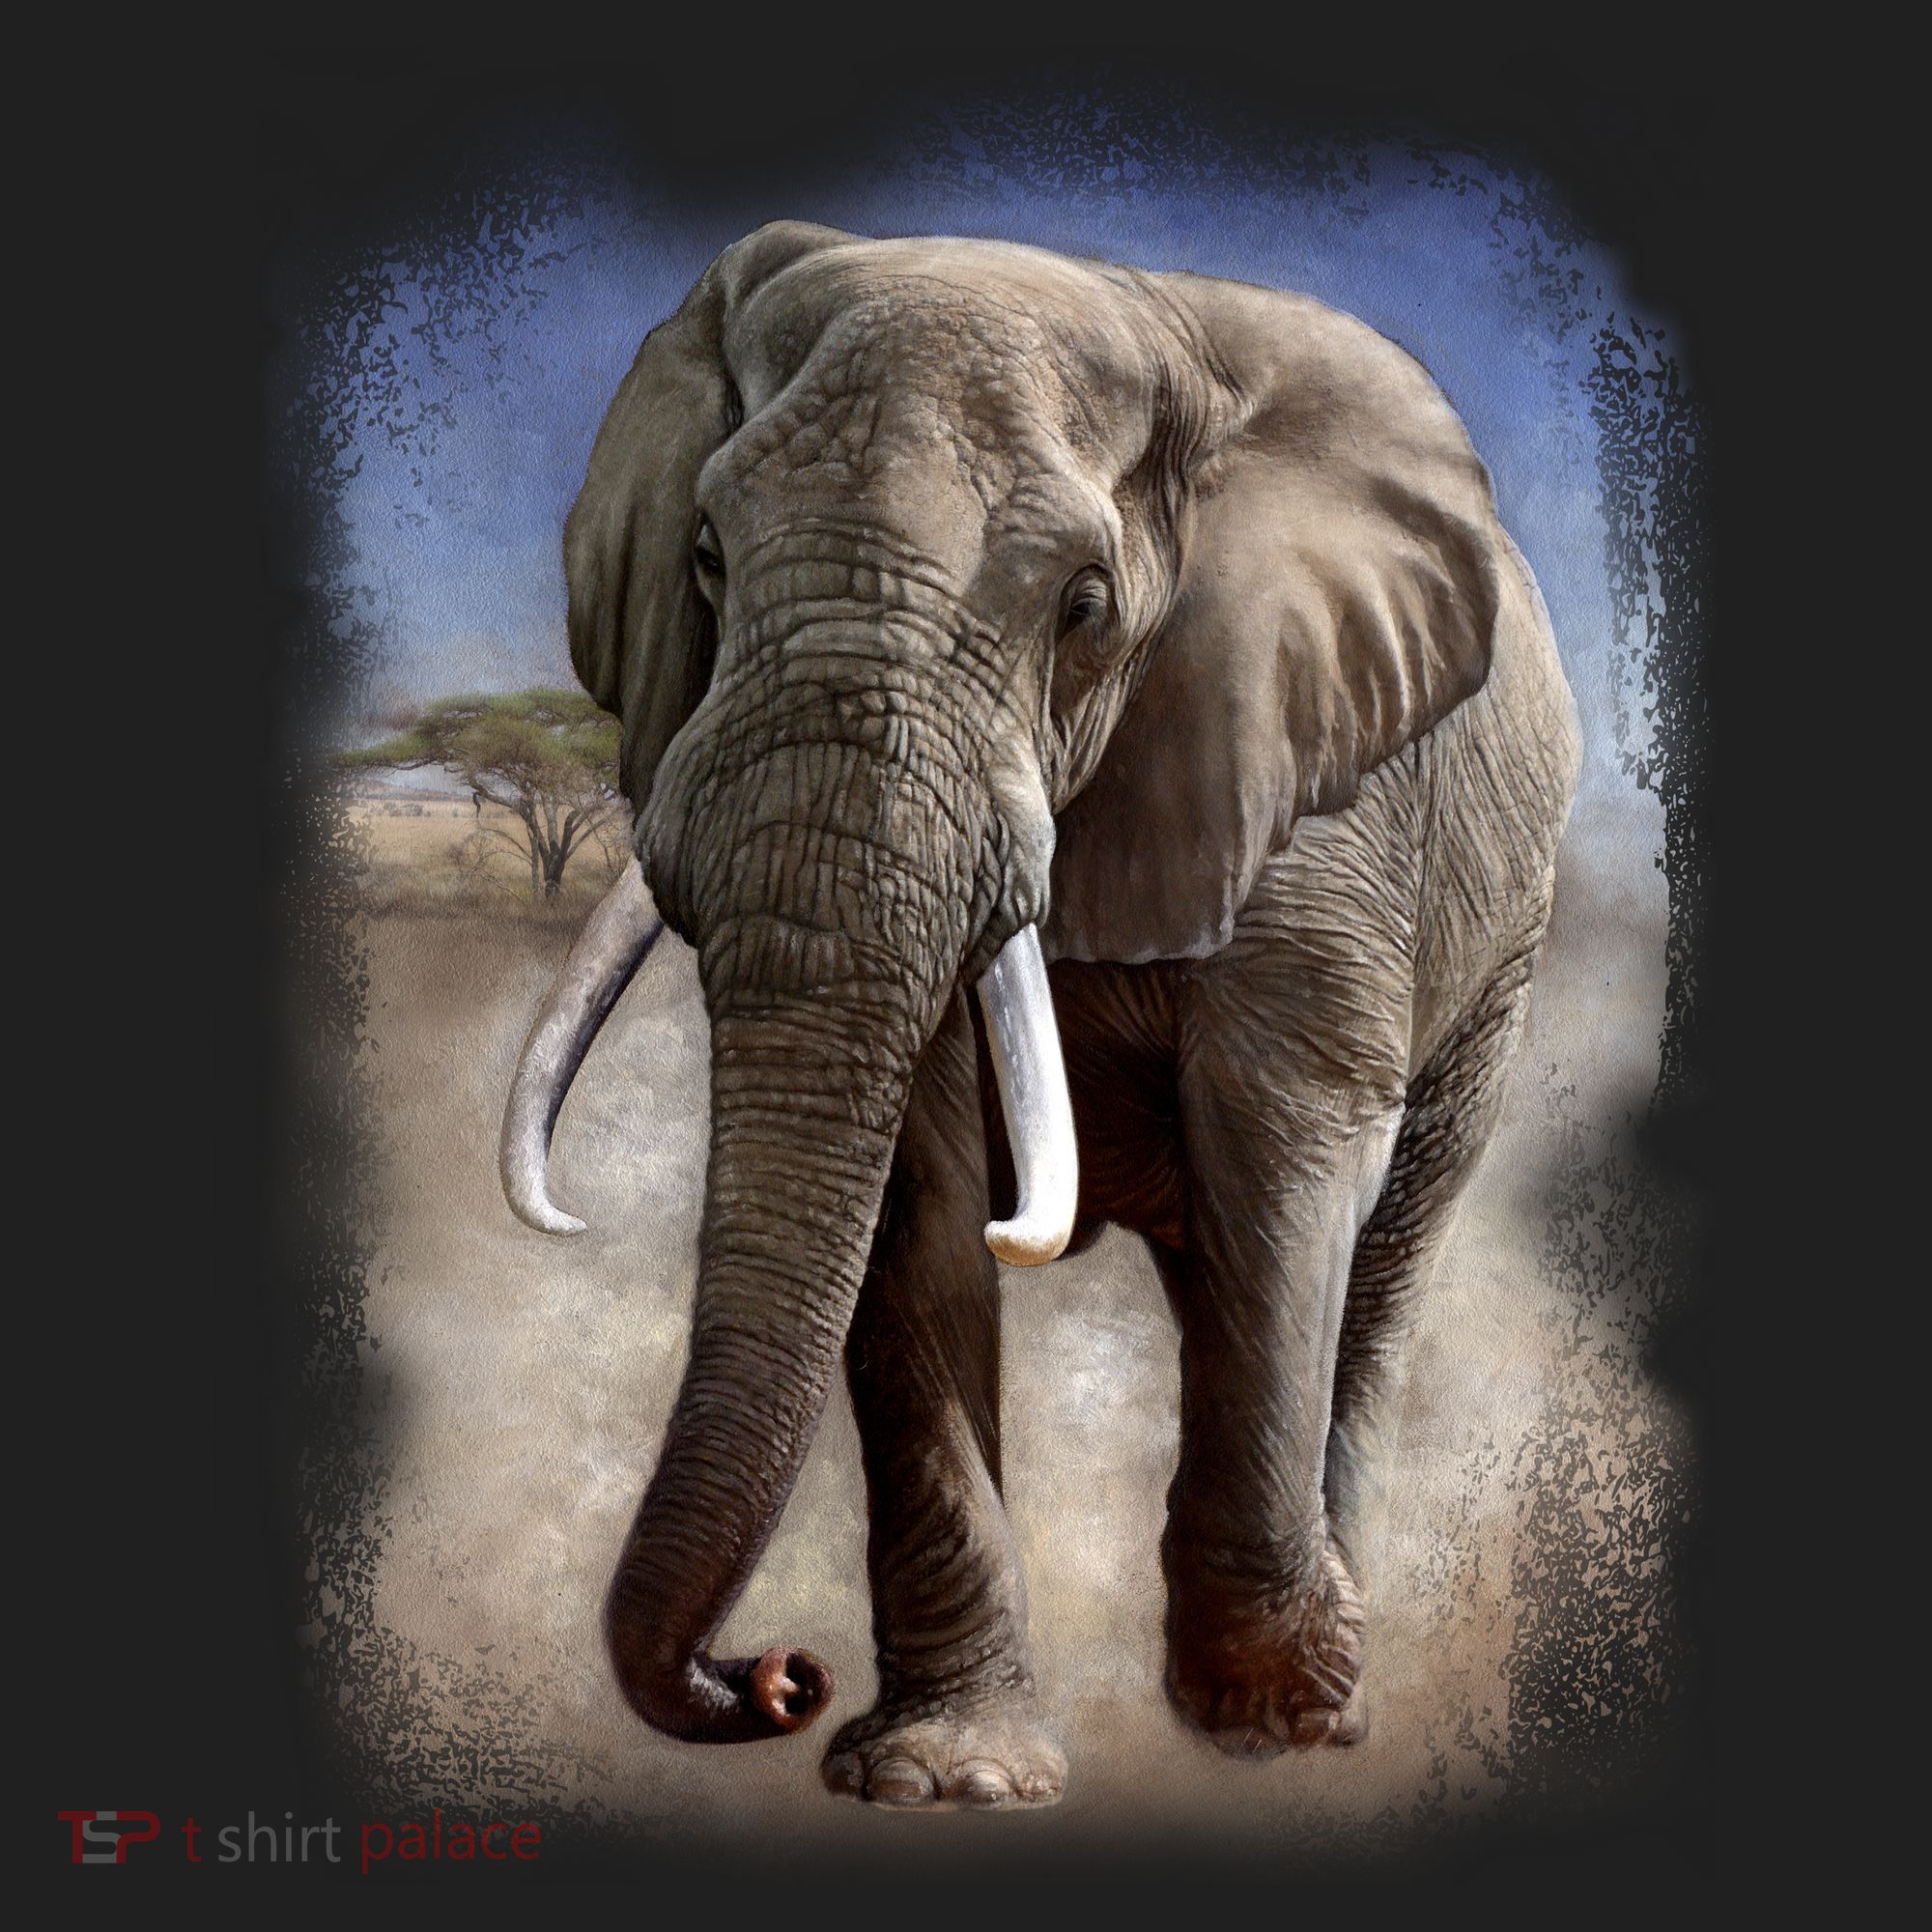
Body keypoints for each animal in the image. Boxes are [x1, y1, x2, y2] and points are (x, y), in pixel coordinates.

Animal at [497, 222, 1581, 1809]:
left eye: (1081, 607)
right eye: (704, 555)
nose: (775, 1674)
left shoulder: (1316, 777)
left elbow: (1284, 1135)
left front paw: (1277, 1717)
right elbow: (919, 1179)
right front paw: (944, 1779)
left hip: (1504, 936)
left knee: (1373, 1256)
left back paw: (1314, 1675)